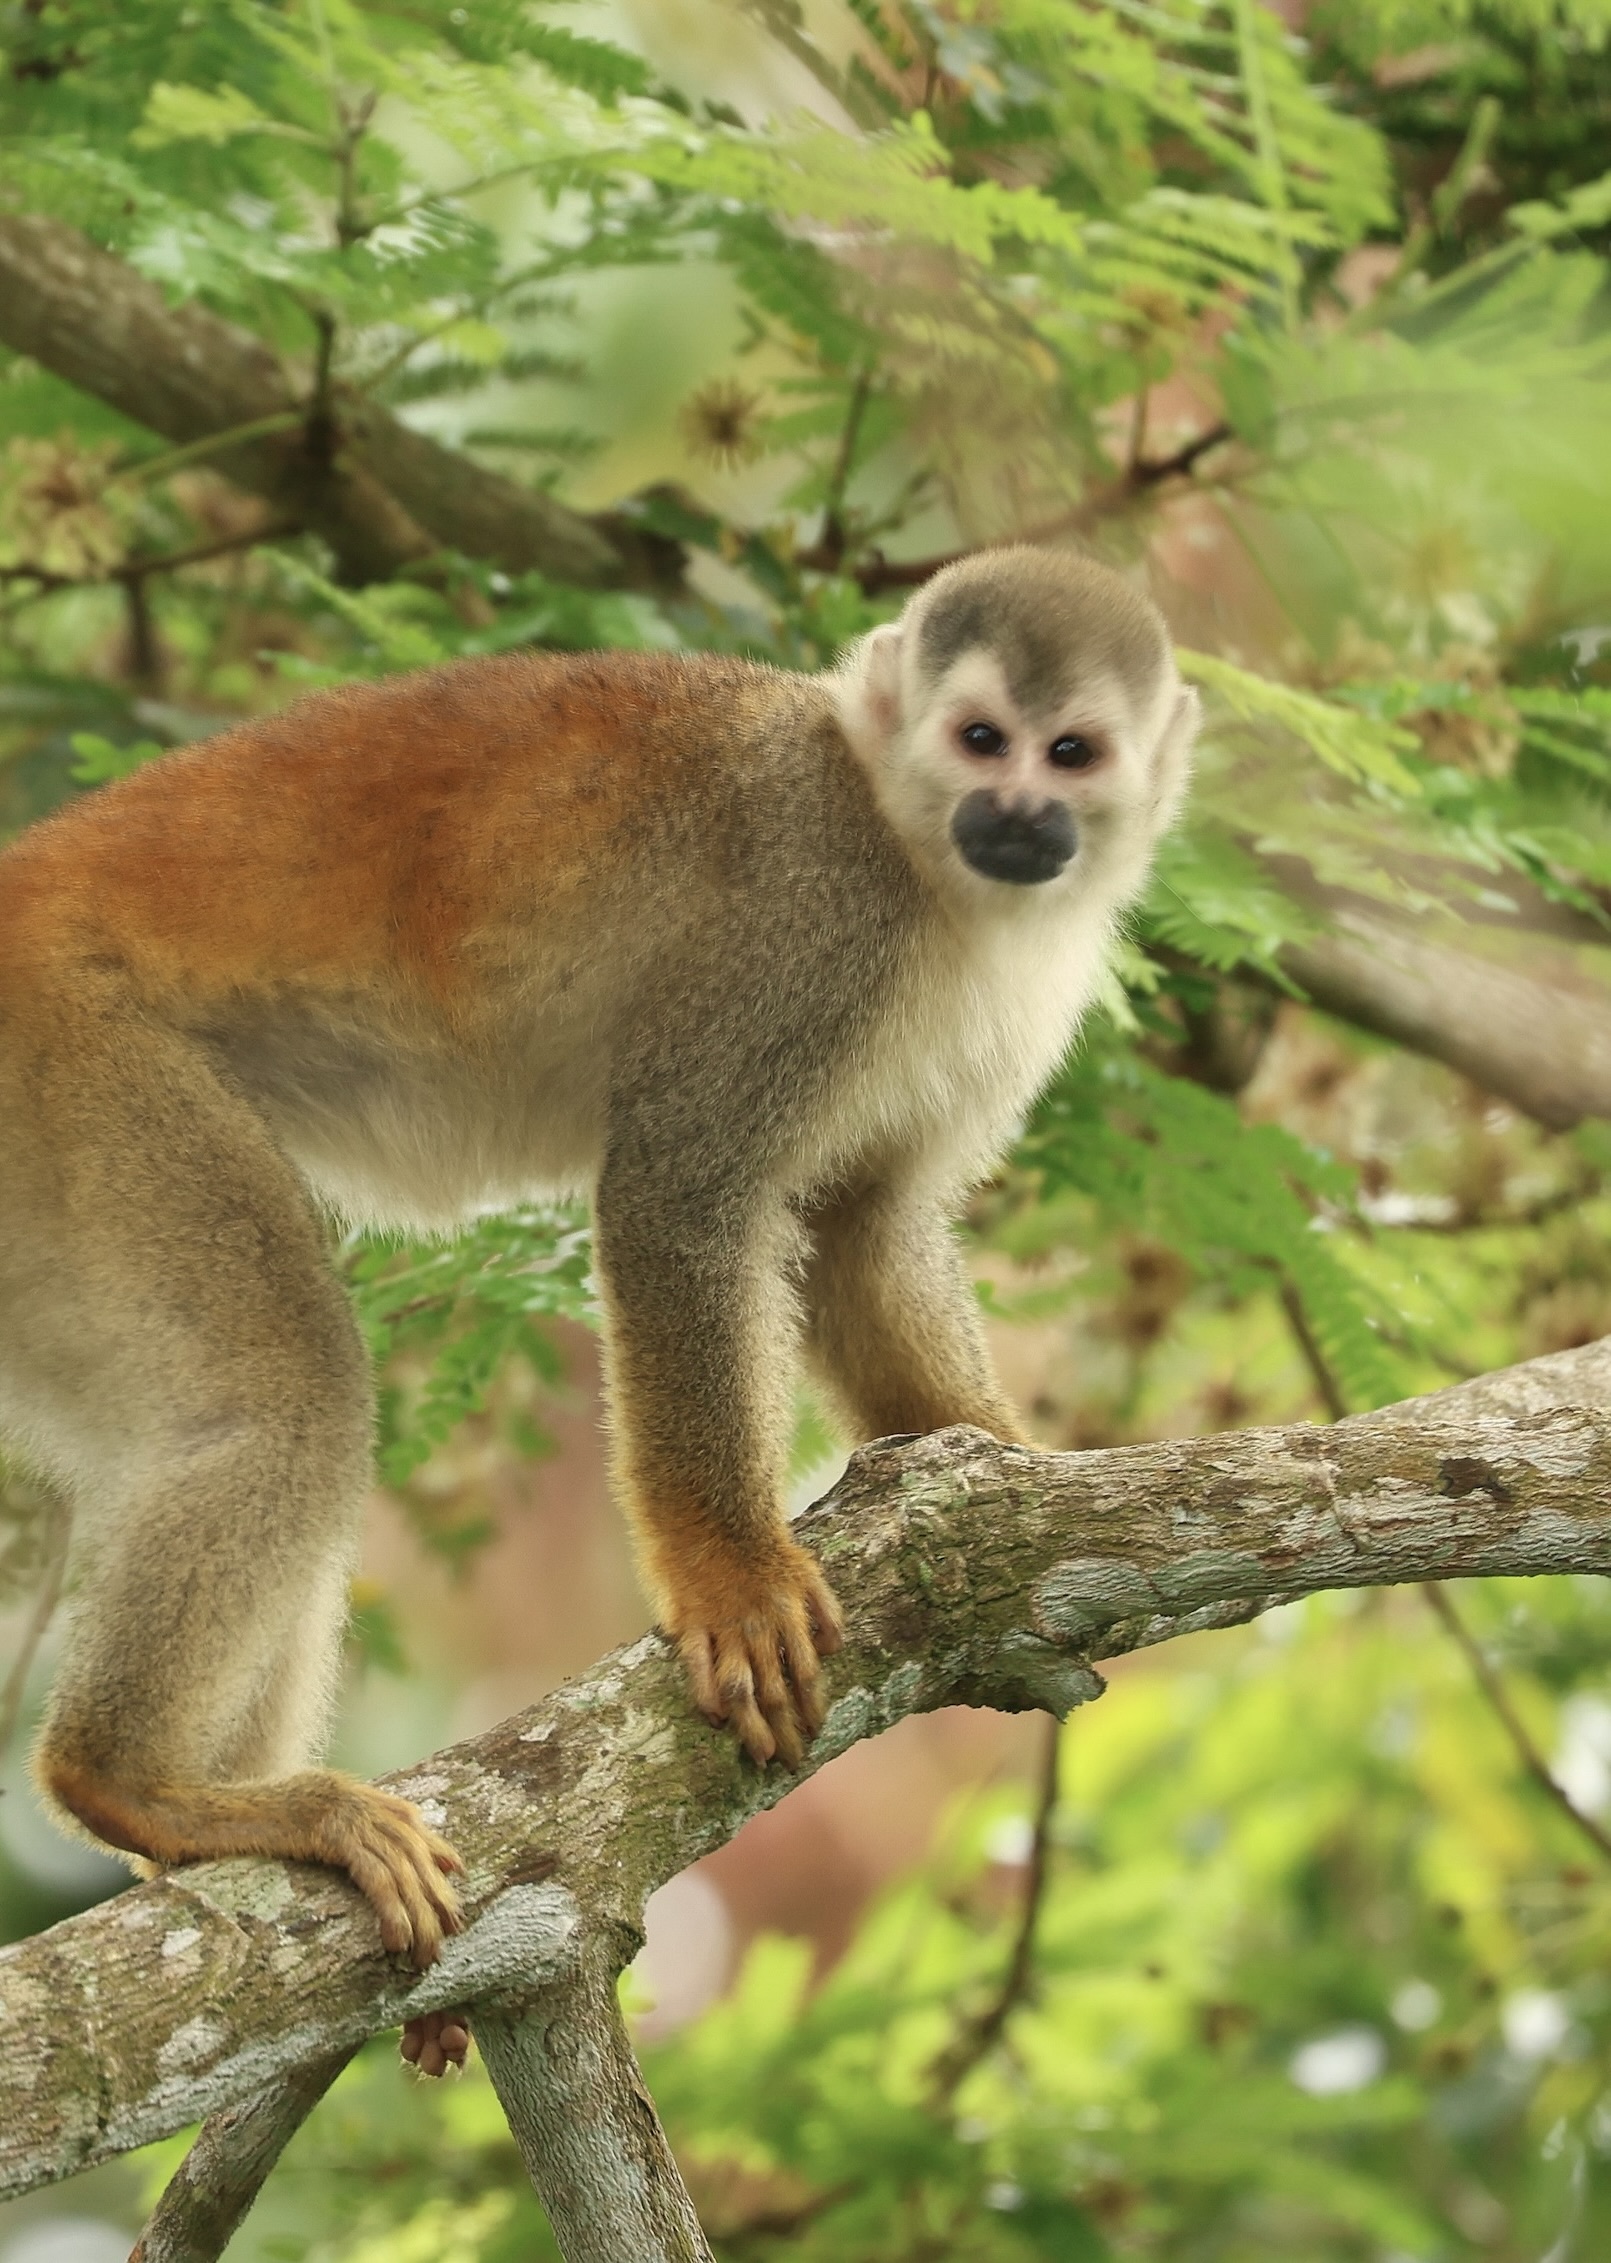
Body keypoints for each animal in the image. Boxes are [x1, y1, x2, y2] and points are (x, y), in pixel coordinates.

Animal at [0, 545, 1195, 2004]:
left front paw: (994, 1456)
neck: (922, 865)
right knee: (293, 1393)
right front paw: (731, 1574)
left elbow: (864, 1226)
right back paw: (134, 1783)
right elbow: (677, 1192)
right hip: (69, 1066)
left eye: (1068, 752)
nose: (1017, 812)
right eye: (979, 737)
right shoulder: (807, 916)